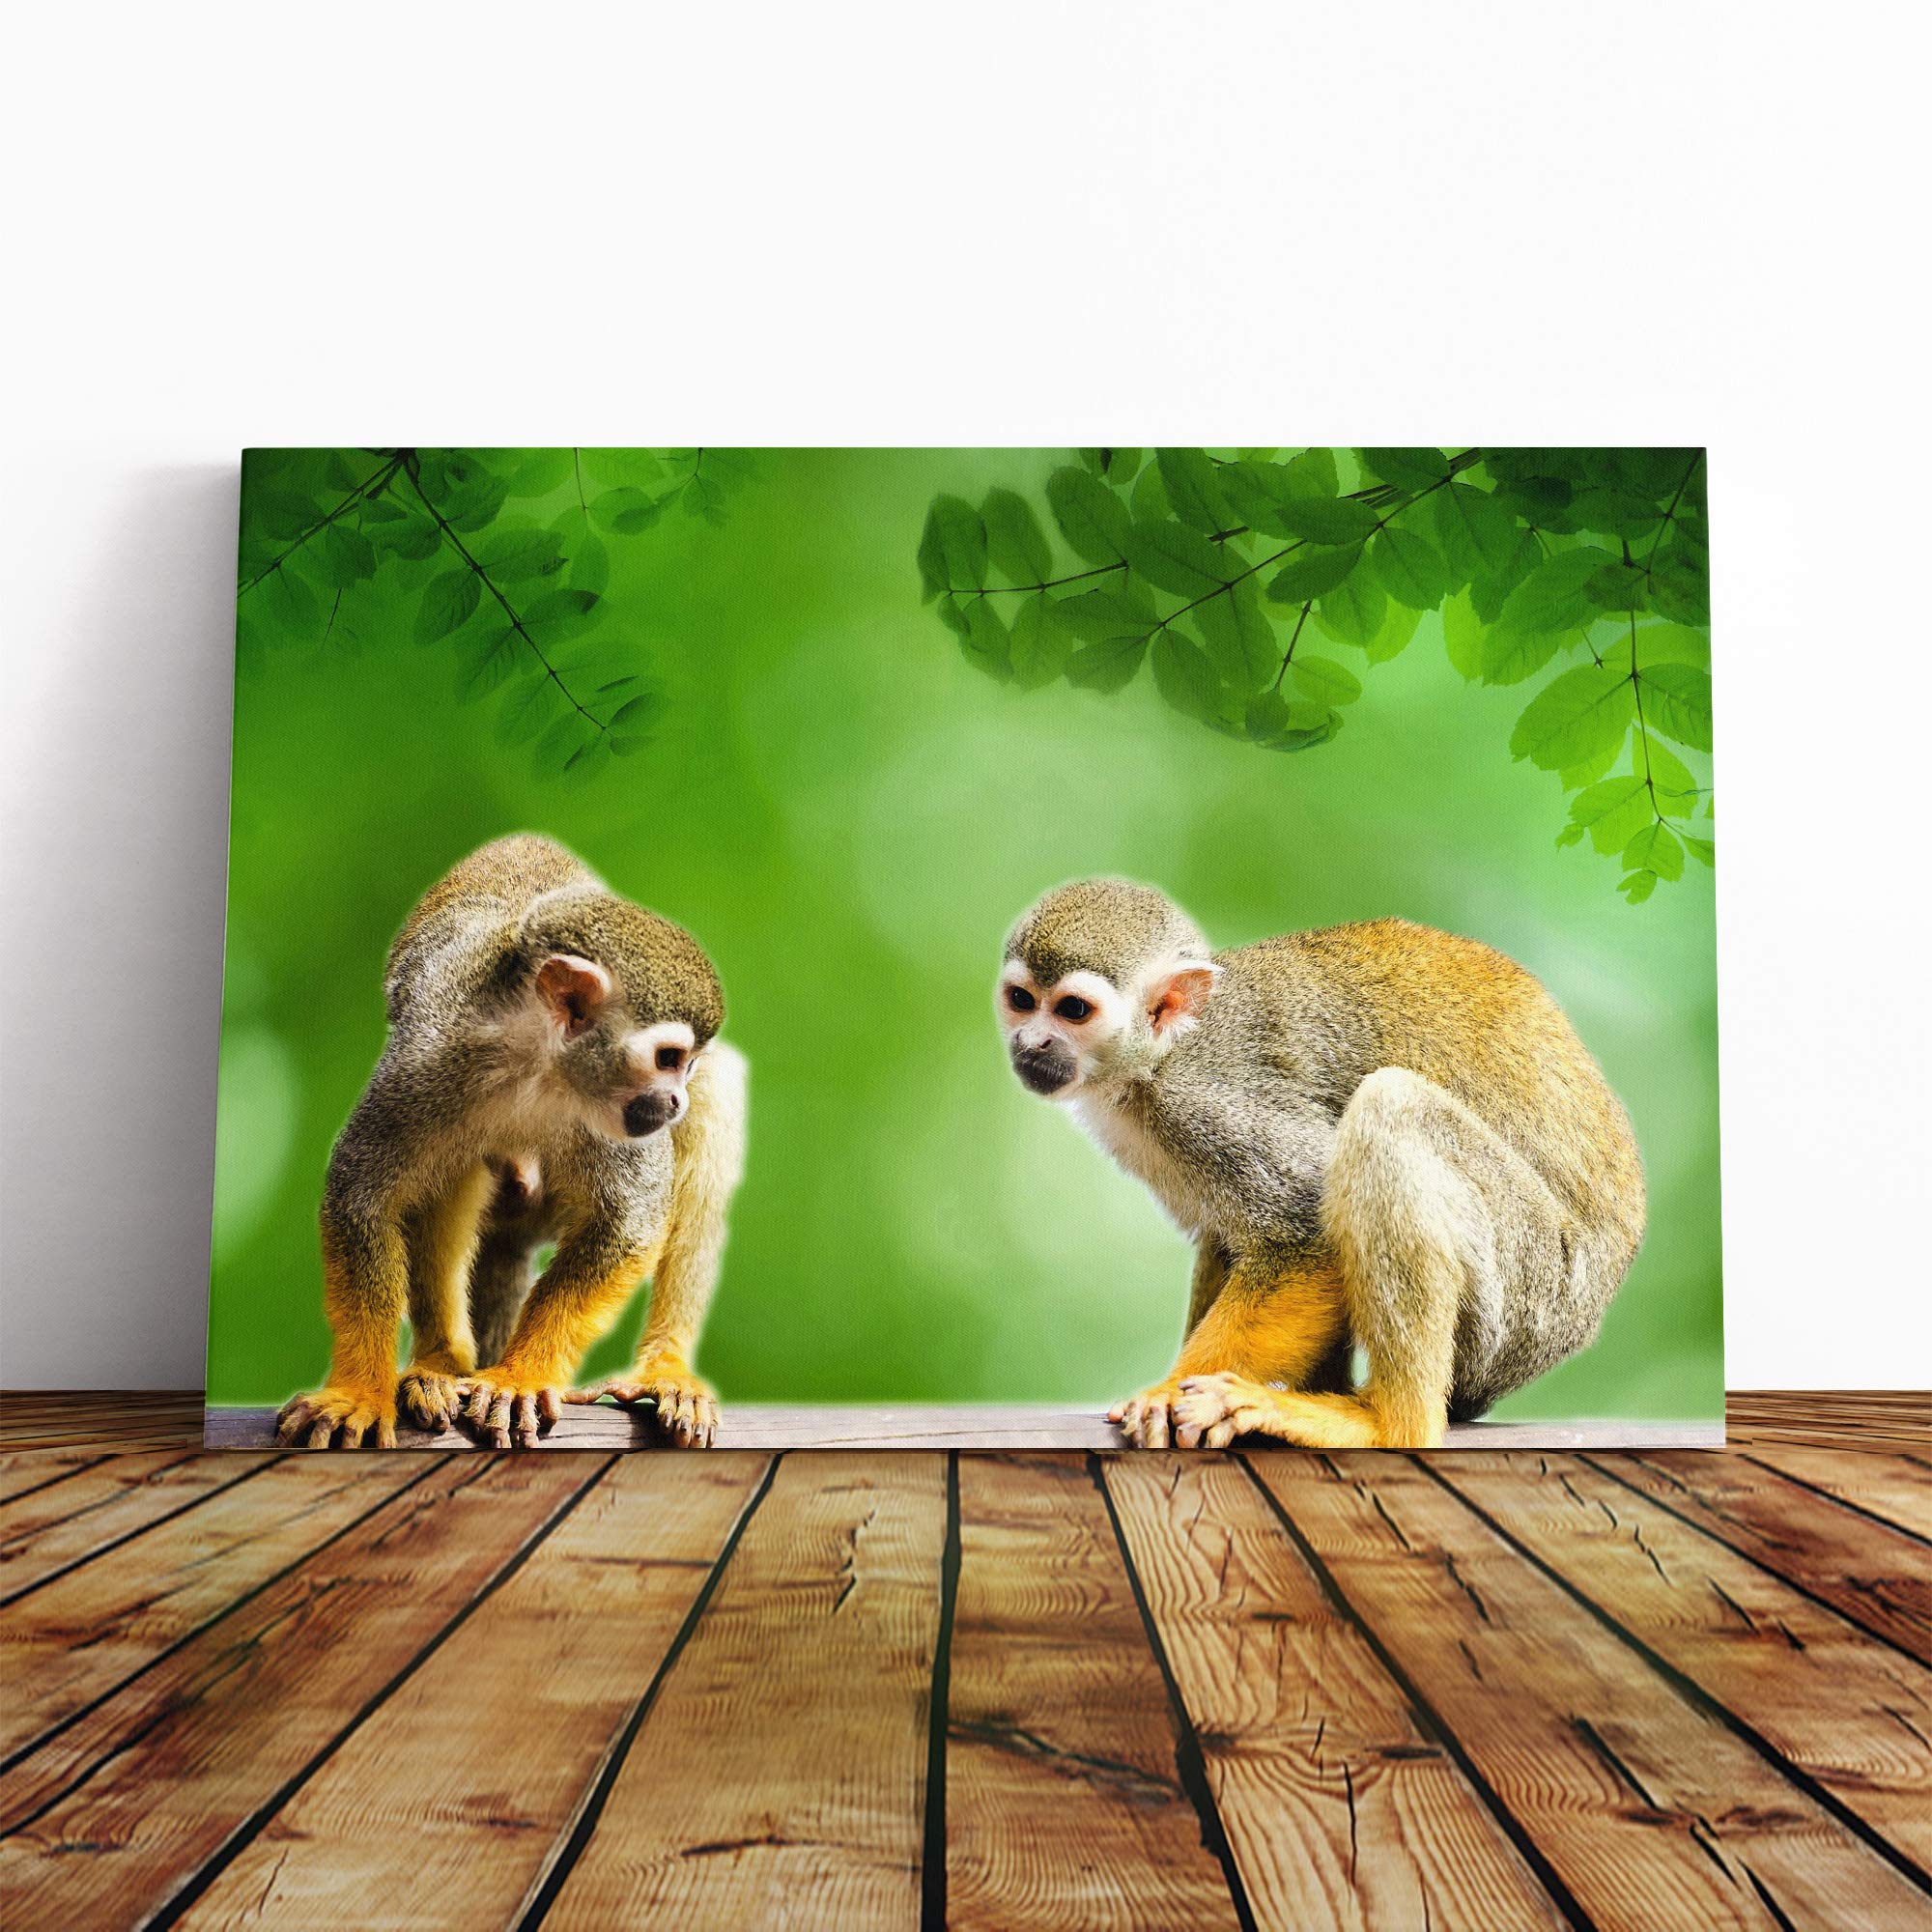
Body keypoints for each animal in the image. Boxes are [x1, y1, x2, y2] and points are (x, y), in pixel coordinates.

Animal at [275, 833, 746, 1451]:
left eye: (684, 1065)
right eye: (668, 1058)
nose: (673, 1102)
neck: (537, 1060)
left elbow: (629, 1223)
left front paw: (519, 1377)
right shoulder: (428, 1057)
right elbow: (363, 1195)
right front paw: (358, 1390)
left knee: (716, 1099)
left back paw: (665, 1368)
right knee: (457, 1169)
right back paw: (441, 1363)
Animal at [996, 880, 1645, 1450]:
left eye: (1073, 1010)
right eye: (1022, 1001)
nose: (1031, 1044)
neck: (1160, 1057)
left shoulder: (1209, 1101)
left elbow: (1306, 1230)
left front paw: (1167, 1391)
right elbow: (1231, 1238)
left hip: (1532, 1290)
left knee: (1389, 1110)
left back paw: (1388, 1423)